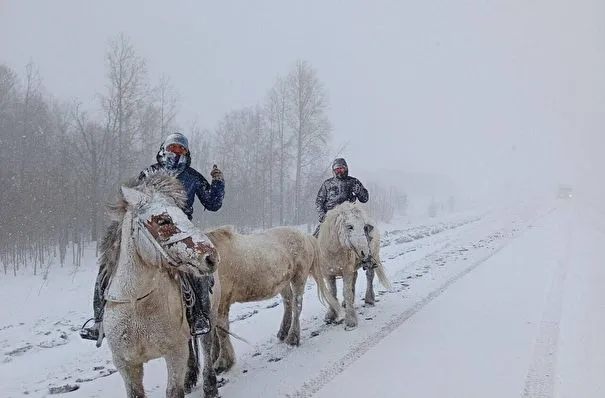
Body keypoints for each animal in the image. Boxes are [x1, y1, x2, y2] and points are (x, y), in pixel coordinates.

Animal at [316, 202, 392, 330]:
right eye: (350, 226)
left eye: (364, 227)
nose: (365, 252)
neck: (334, 251)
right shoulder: (328, 274)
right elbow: (332, 293)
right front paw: (331, 315)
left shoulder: (346, 271)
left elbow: (347, 292)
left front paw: (351, 320)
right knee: (354, 279)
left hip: (373, 256)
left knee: (369, 276)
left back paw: (369, 299)